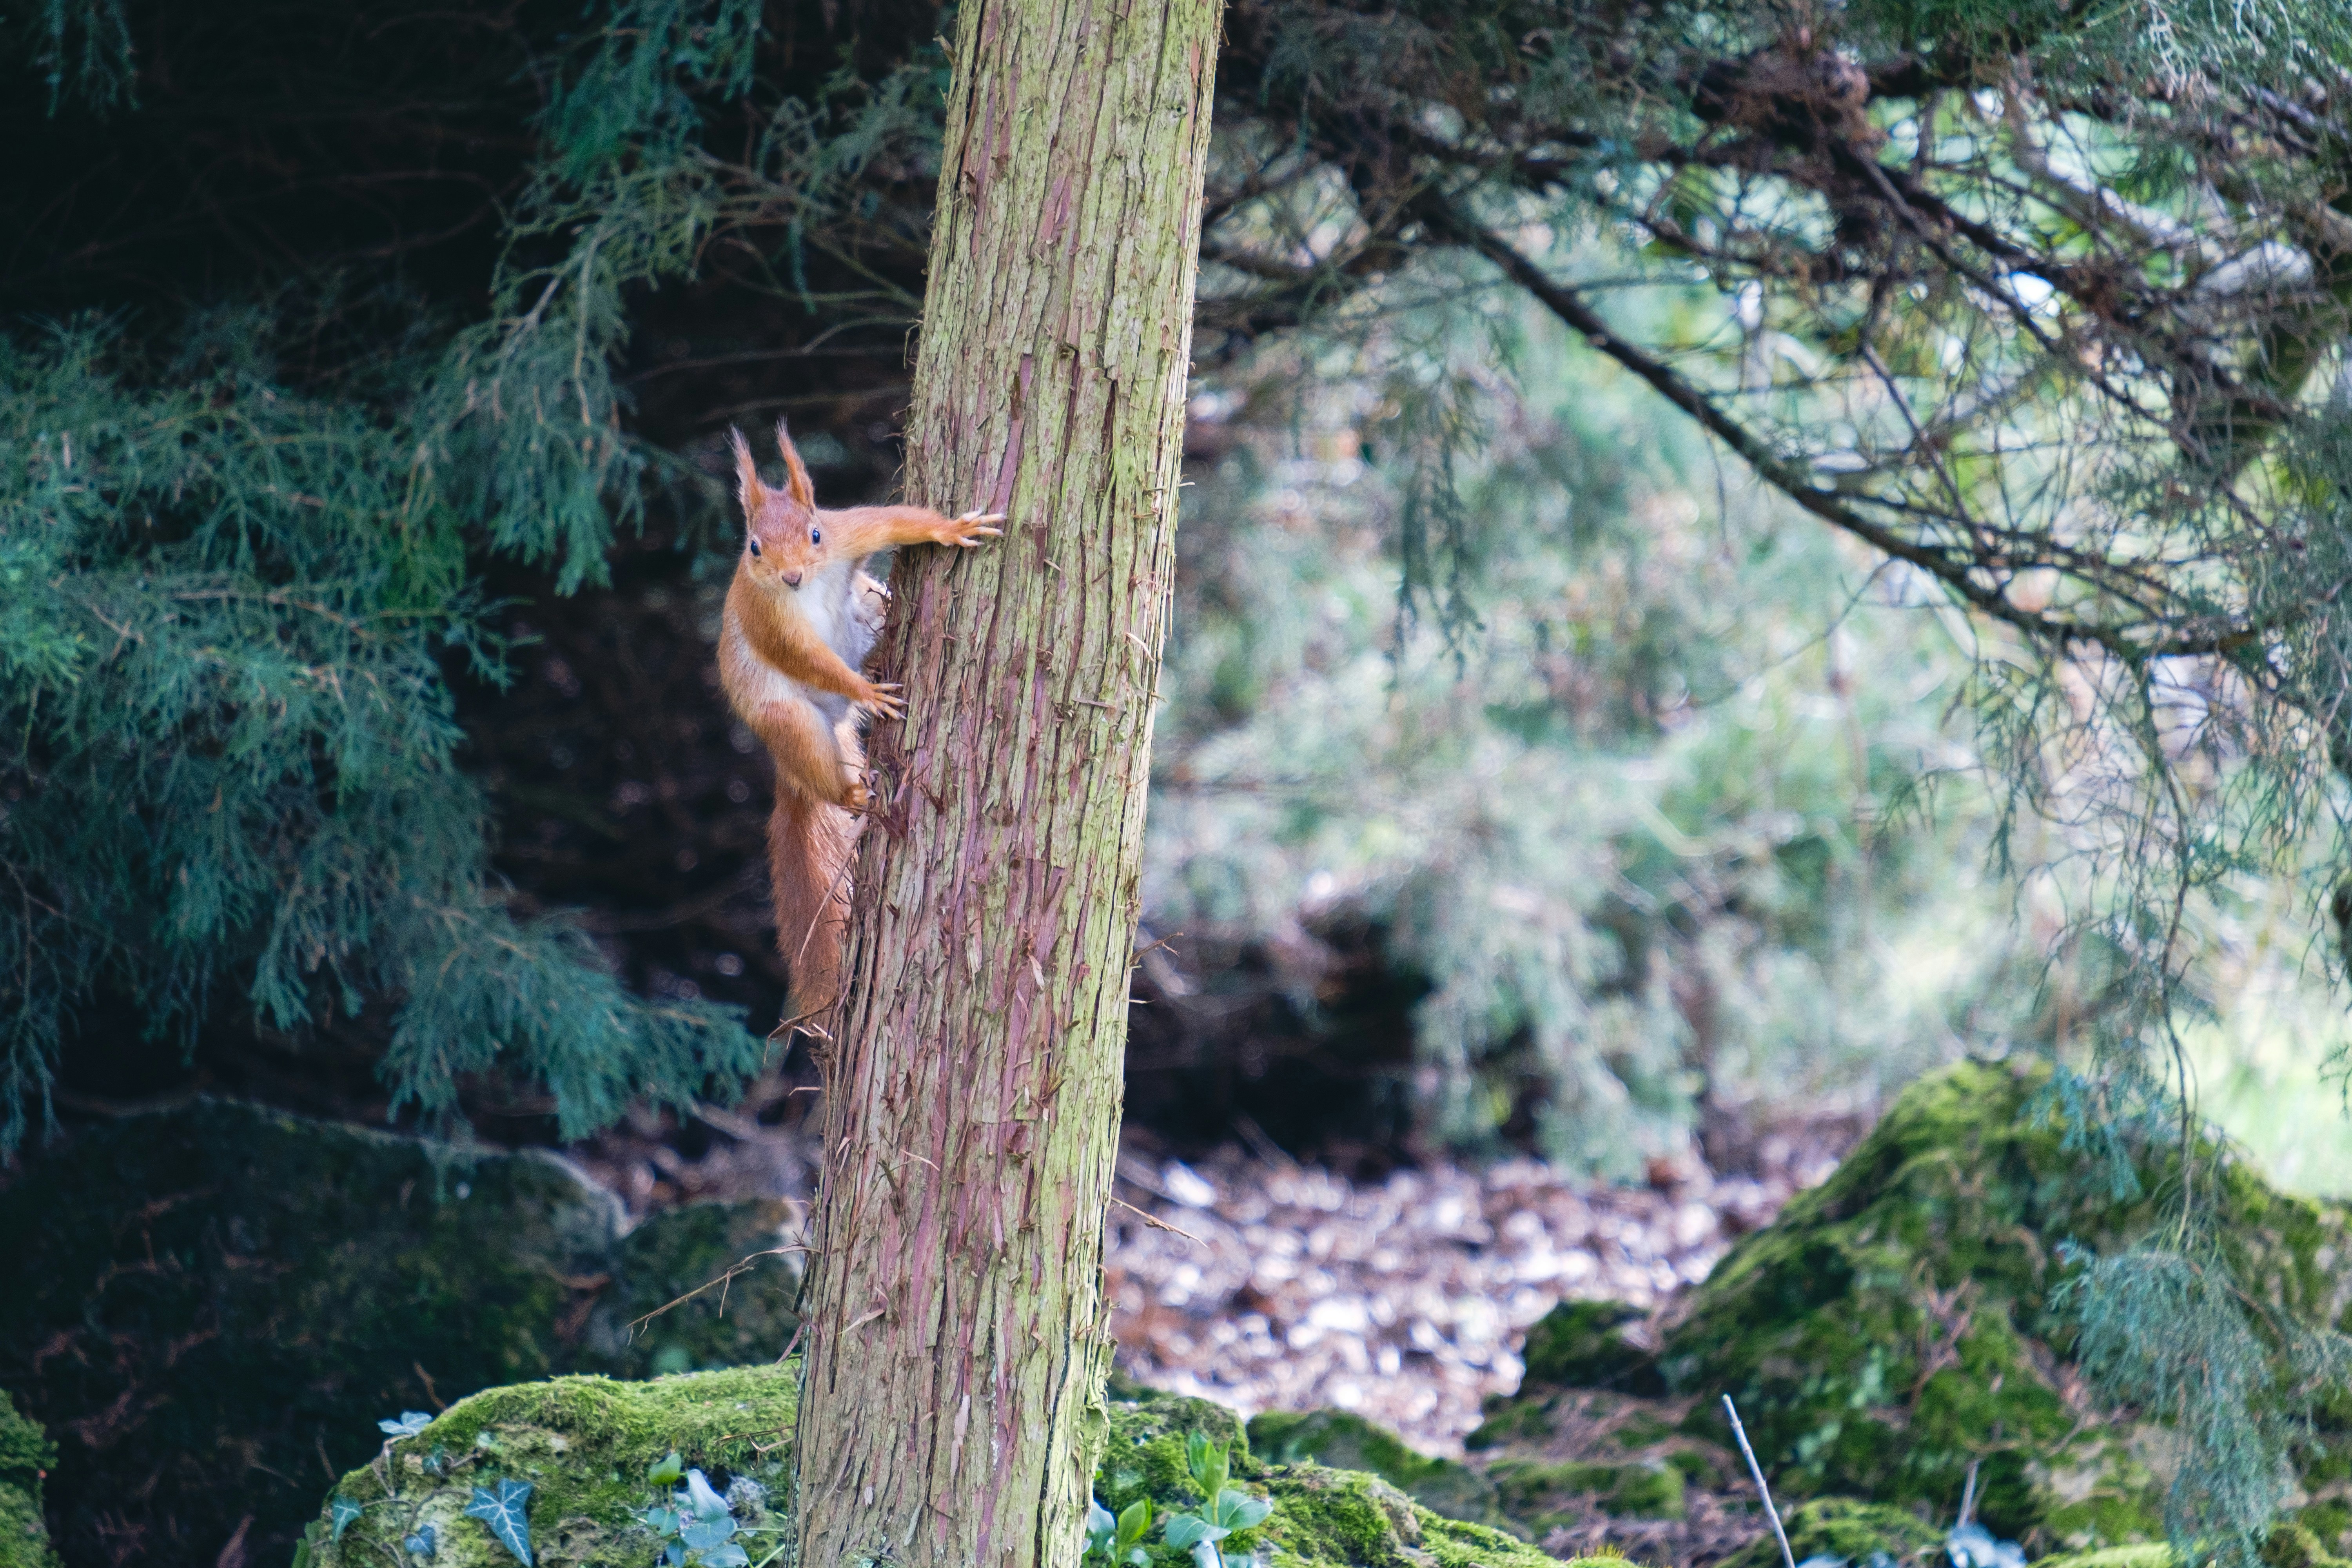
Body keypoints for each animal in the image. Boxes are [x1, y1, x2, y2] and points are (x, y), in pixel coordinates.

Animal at [718, 419, 1003, 1019]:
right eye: (754, 547)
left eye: (815, 533)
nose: (792, 577)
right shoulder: (769, 621)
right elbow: (807, 658)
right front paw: (868, 692)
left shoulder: (849, 533)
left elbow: (895, 521)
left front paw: (954, 528)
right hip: (793, 725)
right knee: (823, 772)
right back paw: (851, 790)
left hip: (868, 608)